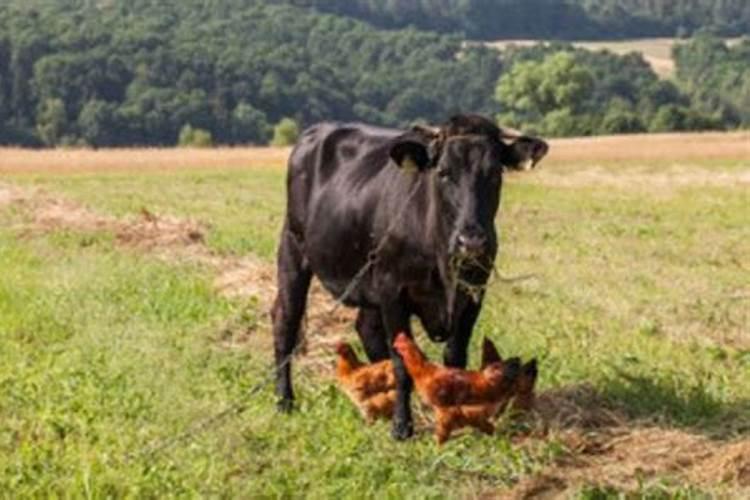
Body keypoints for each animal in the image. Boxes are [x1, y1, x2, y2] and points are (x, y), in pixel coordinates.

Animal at [274, 115, 548, 440]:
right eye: (443, 172)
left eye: (495, 172)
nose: (471, 242)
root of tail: (316, 131)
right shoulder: (394, 293)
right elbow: (402, 365)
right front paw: (402, 427)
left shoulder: (473, 294)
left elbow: (455, 357)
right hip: (293, 249)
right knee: (285, 321)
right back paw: (284, 400)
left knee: (366, 329)